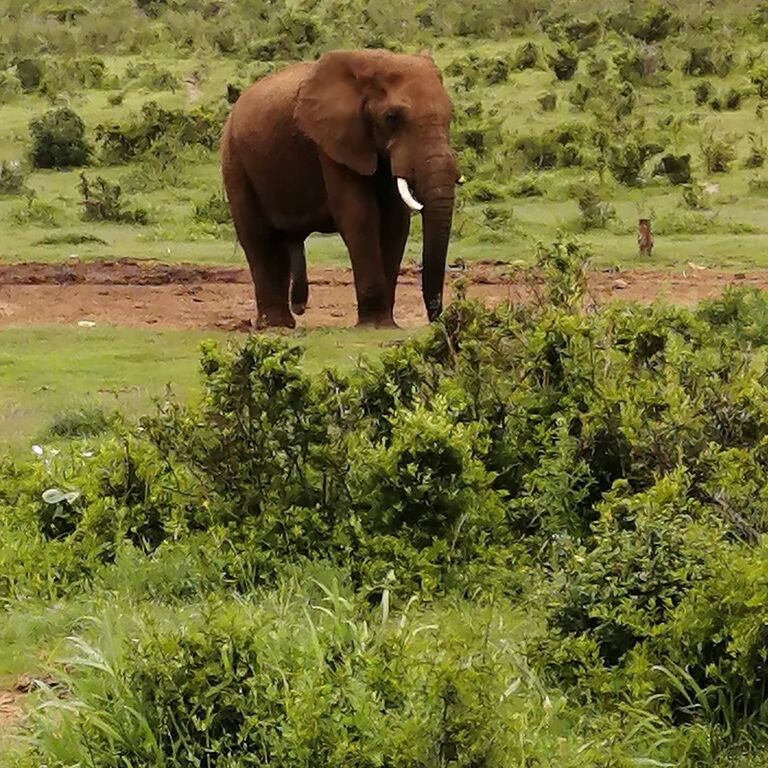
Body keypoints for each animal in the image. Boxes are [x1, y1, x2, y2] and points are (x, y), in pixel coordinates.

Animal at [220, 48, 460, 329]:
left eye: (450, 117)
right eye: (392, 118)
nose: (438, 319)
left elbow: (395, 223)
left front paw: (386, 324)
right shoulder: (331, 144)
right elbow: (360, 217)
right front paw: (373, 325)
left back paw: (285, 323)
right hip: (235, 160)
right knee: (258, 238)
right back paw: (276, 325)